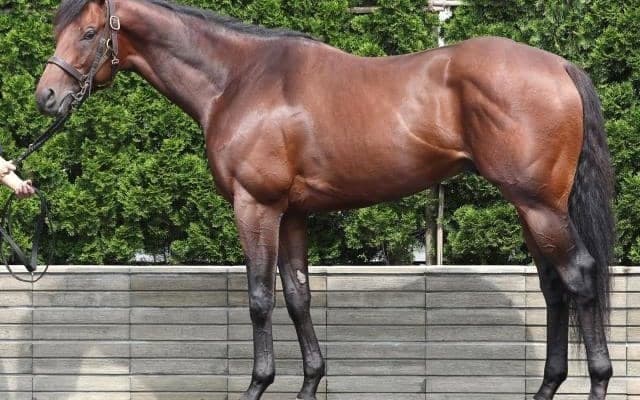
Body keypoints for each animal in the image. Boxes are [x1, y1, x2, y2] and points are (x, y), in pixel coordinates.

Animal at [34, 1, 615, 399]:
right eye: (59, 30)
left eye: (89, 32)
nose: (46, 97)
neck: (239, 80)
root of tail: (560, 66)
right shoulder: (292, 214)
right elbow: (298, 297)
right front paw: (310, 382)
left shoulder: (256, 206)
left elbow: (259, 298)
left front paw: (257, 384)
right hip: (533, 208)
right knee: (555, 289)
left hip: (539, 205)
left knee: (580, 276)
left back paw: (598, 380)